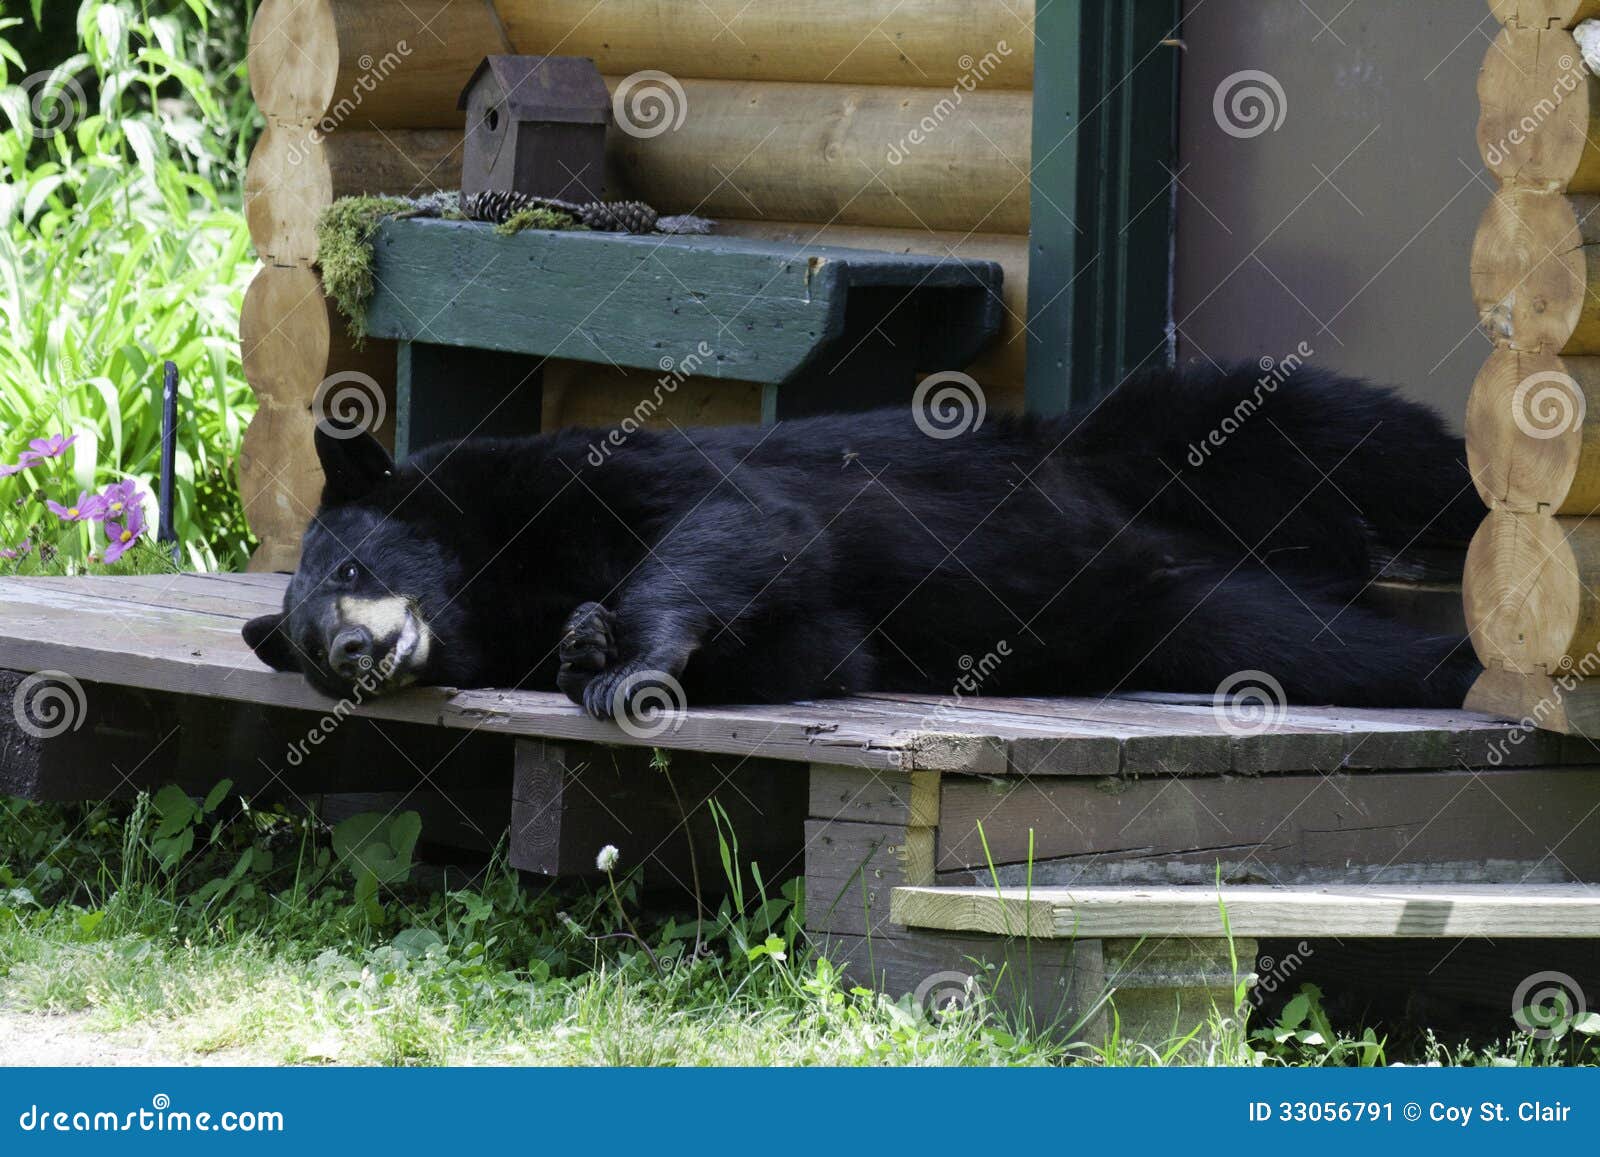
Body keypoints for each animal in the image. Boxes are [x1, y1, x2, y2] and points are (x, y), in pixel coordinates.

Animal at [243, 366, 1478, 720]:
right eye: (302, 644)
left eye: (352, 567)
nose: (351, 650)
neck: (495, 573)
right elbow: (824, 648)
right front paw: (586, 644)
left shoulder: (582, 470)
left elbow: (737, 520)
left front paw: (625, 655)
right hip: (1190, 615)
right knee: (1328, 646)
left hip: (1139, 448)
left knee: (1351, 429)